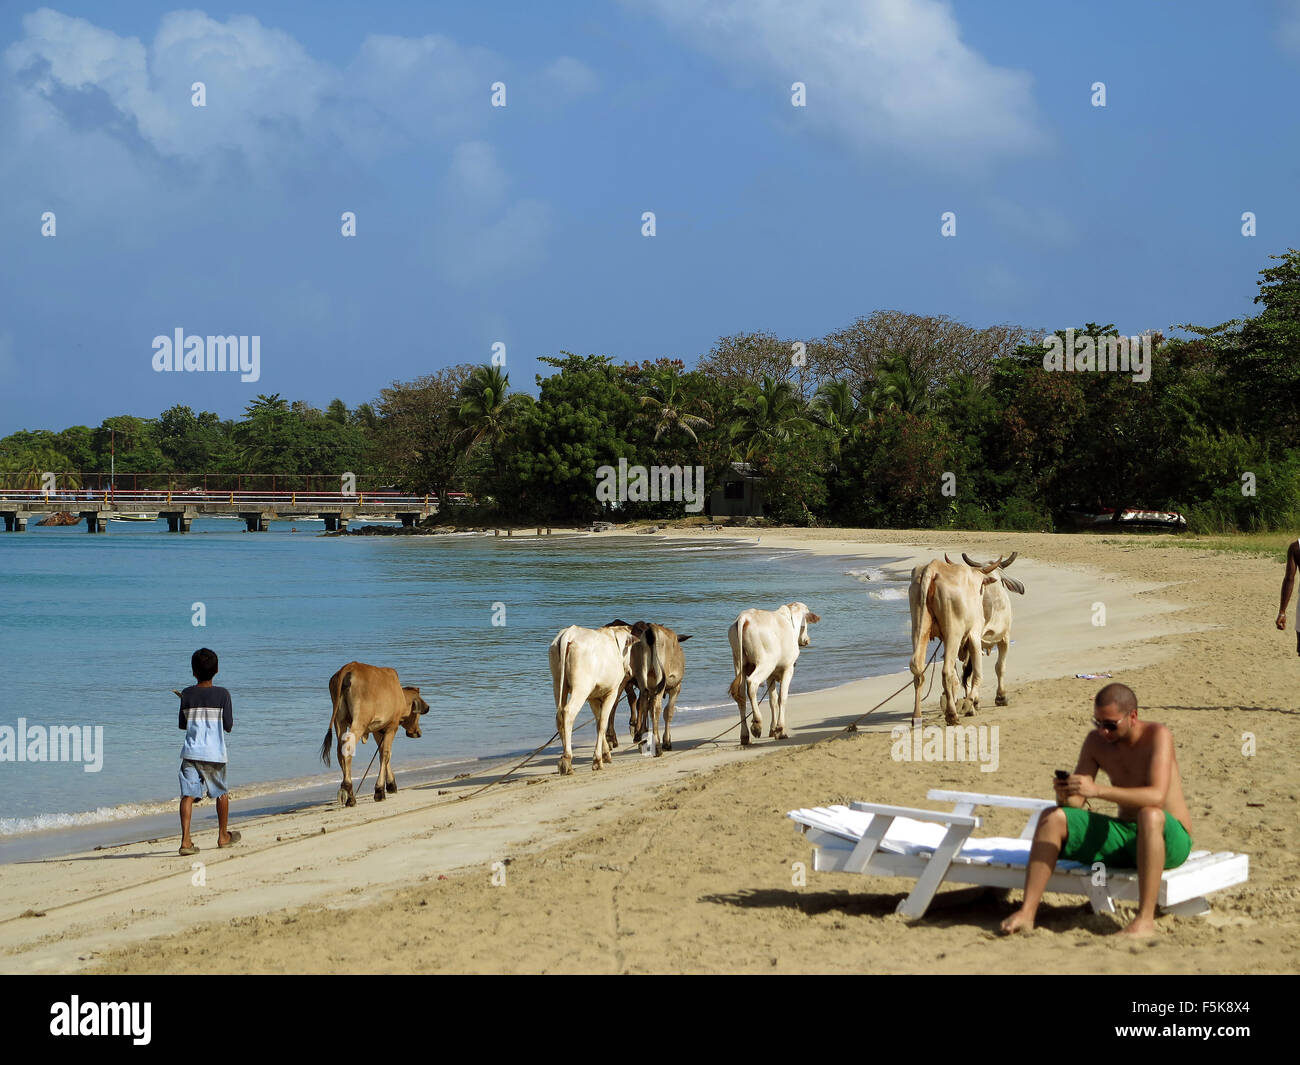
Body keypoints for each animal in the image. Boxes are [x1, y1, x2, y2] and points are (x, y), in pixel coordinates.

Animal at [320, 662, 429, 807]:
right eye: (417, 715)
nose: (418, 732)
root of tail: (349, 667)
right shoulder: (391, 727)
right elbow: (386, 754)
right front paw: (380, 790)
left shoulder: (378, 730)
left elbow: (382, 752)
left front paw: (390, 784)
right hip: (360, 721)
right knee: (348, 747)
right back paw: (347, 790)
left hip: (339, 720)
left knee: (340, 750)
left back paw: (350, 794)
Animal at [549, 621, 635, 774]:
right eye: (629, 648)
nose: (629, 671)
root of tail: (569, 634)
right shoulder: (612, 692)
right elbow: (602, 723)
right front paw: (598, 759)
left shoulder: (593, 697)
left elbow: (598, 721)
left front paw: (605, 754)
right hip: (581, 687)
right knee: (568, 712)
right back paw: (567, 759)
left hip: (558, 684)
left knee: (559, 715)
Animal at [626, 621, 692, 753]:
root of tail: (651, 629)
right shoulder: (676, 687)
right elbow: (668, 712)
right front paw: (667, 741)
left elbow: (646, 707)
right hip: (661, 679)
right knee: (656, 707)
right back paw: (657, 745)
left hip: (642, 679)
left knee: (643, 703)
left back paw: (642, 739)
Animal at [727, 603, 821, 745]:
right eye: (805, 625)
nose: (806, 640)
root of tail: (745, 617)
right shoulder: (788, 669)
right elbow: (782, 698)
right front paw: (780, 730)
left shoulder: (771, 676)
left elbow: (773, 700)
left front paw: (773, 729)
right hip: (765, 663)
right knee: (752, 684)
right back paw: (757, 724)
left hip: (738, 663)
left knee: (741, 696)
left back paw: (745, 736)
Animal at [908, 554, 1006, 727]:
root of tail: (932, 568)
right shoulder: (974, 635)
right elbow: (977, 673)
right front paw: (970, 703)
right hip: (953, 633)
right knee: (946, 671)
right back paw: (952, 715)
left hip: (918, 627)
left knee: (918, 669)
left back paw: (917, 716)